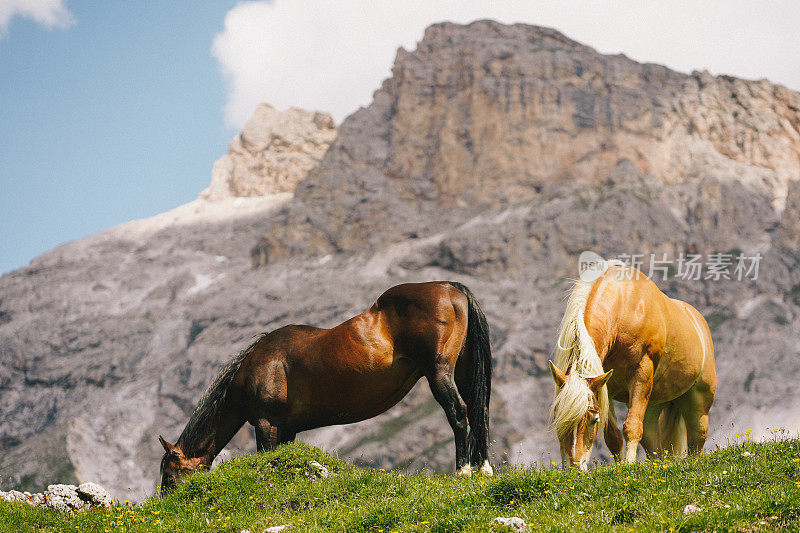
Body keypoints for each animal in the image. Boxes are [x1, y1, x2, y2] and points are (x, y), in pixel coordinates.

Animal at [158, 282, 494, 490]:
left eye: (170, 476)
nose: (169, 505)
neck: (259, 363)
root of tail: (449, 288)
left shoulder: (266, 424)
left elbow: (267, 458)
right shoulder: (287, 428)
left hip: (439, 373)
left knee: (459, 413)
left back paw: (463, 471)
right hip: (463, 373)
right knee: (480, 412)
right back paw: (483, 469)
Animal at [552, 260, 720, 468]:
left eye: (593, 419)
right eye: (557, 417)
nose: (574, 466)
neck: (625, 307)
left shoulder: (641, 373)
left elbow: (631, 426)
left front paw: (629, 465)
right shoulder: (605, 385)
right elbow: (613, 435)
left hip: (698, 403)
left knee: (696, 440)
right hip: (652, 405)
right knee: (651, 441)